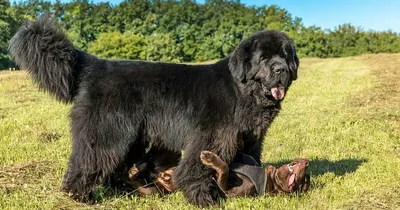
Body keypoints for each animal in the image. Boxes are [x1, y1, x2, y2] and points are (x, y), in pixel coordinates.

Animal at [123, 148, 310, 196]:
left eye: (302, 183)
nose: (307, 163)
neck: (266, 177)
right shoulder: (250, 161)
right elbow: (246, 156)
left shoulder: (228, 190)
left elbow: (224, 169)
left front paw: (210, 158)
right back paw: (138, 167)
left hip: (155, 192)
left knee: (139, 184)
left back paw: (132, 173)